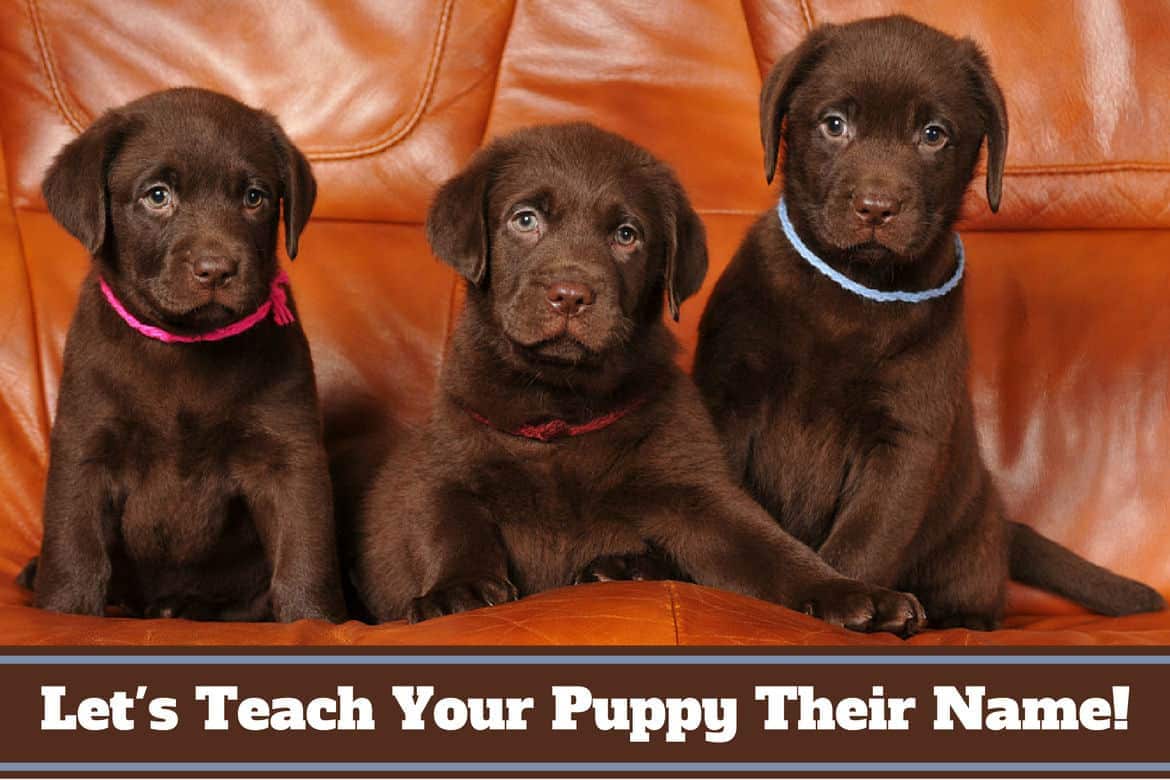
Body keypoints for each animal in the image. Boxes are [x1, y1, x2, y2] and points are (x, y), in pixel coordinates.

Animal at [23, 87, 341, 622]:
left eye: (254, 197)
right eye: (157, 196)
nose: (216, 269)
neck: (186, 347)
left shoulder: (288, 455)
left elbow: (305, 549)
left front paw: (313, 621)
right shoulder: (85, 448)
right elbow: (74, 548)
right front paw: (64, 614)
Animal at [353, 122, 921, 636]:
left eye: (626, 235)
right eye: (524, 219)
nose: (570, 294)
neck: (563, 404)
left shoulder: (695, 488)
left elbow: (768, 547)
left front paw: (849, 592)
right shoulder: (448, 460)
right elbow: (449, 524)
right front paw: (459, 591)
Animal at [687, 16, 1165, 626]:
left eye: (933, 134)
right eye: (834, 125)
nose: (876, 207)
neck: (853, 291)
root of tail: (999, 518)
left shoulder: (908, 442)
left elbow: (868, 535)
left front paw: (856, 599)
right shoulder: (730, 401)